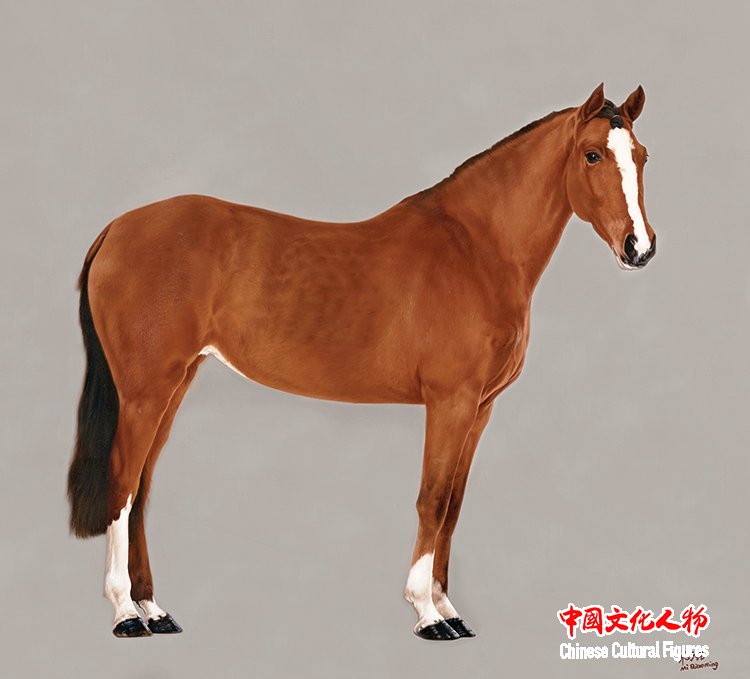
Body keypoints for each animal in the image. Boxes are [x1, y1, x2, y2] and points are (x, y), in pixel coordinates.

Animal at [68, 83, 656, 640]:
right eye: (592, 155)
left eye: (642, 155)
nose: (640, 247)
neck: (476, 248)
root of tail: (117, 227)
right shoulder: (451, 402)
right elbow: (432, 500)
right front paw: (427, 614)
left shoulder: (481, 409)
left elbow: (454, 505)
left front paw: (449, 609)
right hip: (145, 390)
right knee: (123, 483)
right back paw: (126, 613)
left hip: (175, 384)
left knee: (142, 488)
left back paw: (155, 609)